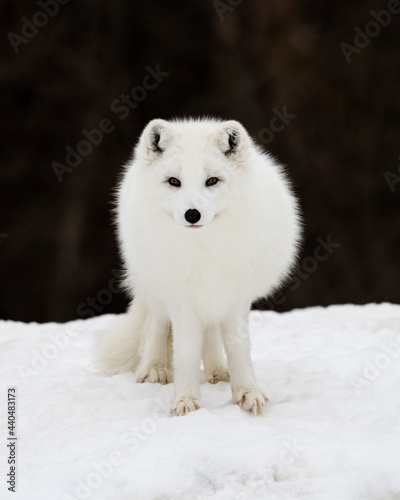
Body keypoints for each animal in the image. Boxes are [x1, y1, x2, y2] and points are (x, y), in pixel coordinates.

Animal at [97, 117, 300, 414]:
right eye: (174, 181)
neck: (204, 249)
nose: (192, 214)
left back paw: (218, 373)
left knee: (211, 334)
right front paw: (186, 400)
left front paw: (246, 392)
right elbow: (185, 354)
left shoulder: (234, 297)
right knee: (155, 325)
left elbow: (239, 350)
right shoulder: (181, 300)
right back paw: (154, 369)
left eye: (212, 181)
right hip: (154, 289)